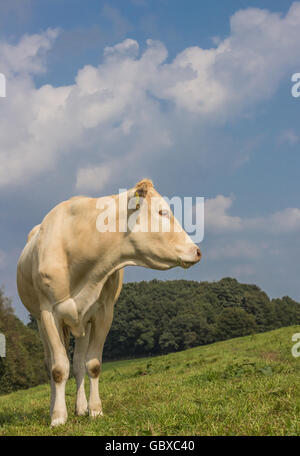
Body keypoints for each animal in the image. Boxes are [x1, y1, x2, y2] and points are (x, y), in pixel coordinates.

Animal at [15, 179, 199, 428]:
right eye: (163, 212)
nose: (197, 251)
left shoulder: (103, 313)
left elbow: (92, 365)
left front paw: (95, 410)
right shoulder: (49, 313)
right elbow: (58, 369)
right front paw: (58, 417)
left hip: (82, 324)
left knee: (78, 363)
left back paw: (80, 407)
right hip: (41, 321)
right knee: (50, 362)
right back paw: (54, 407)